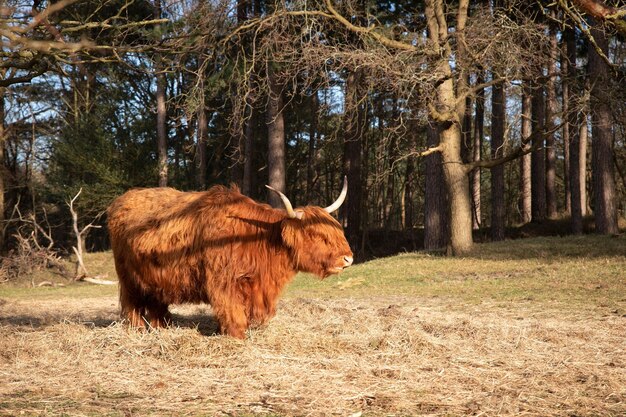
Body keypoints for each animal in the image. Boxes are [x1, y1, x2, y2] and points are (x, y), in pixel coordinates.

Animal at [107, 179, 352, 338]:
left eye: (337, 231)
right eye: (316, 234)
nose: (348, 259)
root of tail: (123, 199)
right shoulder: (225, 283)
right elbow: (233, 312)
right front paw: (236, 336)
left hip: (158, 278)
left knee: (156, 302)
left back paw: (162, 327)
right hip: (128, 278)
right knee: (132, 304)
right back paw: (137, 330)